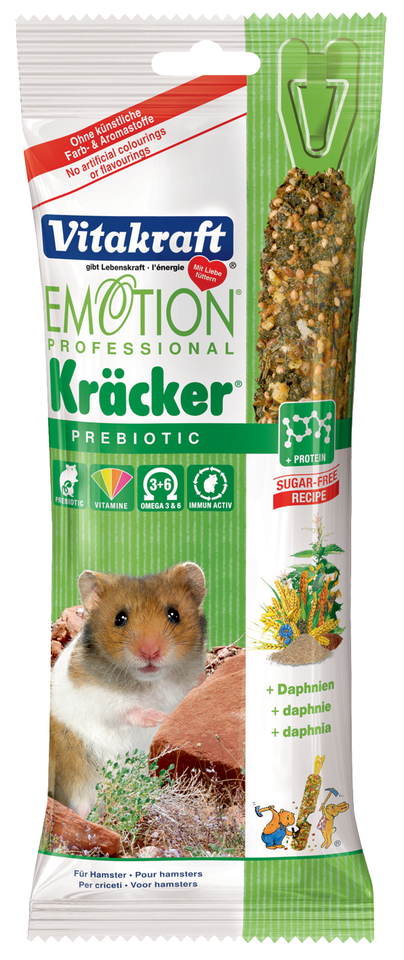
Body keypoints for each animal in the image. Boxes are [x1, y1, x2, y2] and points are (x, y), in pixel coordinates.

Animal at [49, 561, 207, 819]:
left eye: (174, 614)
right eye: (119, 618)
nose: (150, 652)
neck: (150, 681)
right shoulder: (95, 697)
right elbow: (125, 709)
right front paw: (158, 717)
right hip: (76, 765)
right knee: (82, 805)